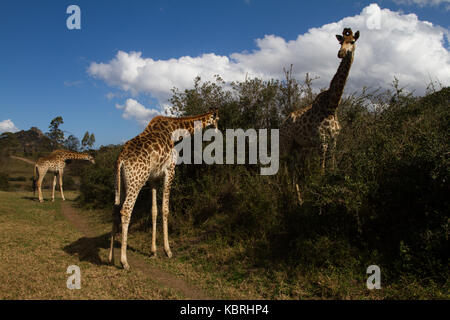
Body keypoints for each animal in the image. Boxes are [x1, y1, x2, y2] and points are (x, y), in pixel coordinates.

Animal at [110, 109, 220, 268]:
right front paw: (168, 251)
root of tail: (121, 159)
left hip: (120, 184)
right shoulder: (170, 170)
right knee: (125, 210)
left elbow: (154, 210)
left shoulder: (154, 179)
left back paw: (111, 258)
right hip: (136, 182)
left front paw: (153, 252)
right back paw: (124, 262)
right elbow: (165, 209)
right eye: (217, 120)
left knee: (114, 209)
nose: (218, 133)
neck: (175, 132)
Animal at [280, 27, 360, 172]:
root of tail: (281, 124)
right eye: (340, 42)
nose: (340, 53)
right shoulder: (321, 141)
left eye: (352, 41)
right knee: (282, 164)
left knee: (291, 165)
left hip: (297, 145)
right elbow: (321, 169)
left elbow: (332, 165)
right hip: (285, 142)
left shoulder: (333, 140)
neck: (331, 107)